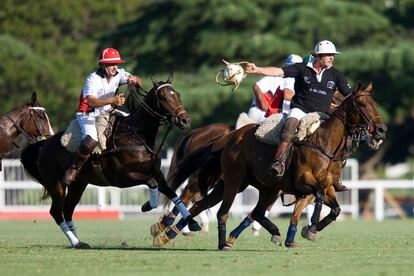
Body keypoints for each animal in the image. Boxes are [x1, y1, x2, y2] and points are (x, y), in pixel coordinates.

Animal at [20, 74, 201, 249]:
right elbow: (152, 183)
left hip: (78, 184)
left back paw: (79, 242)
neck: (137, 135)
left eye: (177, 94)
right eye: (163, 97)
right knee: (56, 212)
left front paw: (191, 222)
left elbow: (172, 193)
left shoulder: (156, 173)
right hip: (55, 184)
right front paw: (148, 205)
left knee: (68, 210)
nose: (185, 120)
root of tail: (43, 144)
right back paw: (76, 242)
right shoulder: (122, 178)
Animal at [154, 81, 386, 250]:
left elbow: (333, 209)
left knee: (201, 203)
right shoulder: (304, 184)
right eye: (362, 105)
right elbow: (314, 200)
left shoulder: (320, 187)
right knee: (193, 197)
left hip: (239, 184)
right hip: (231, 181)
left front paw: (300, 233)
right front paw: (309, 228)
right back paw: (166, 229)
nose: (381, 131)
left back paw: (169, 234)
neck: (323, 143)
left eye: (374, 102)